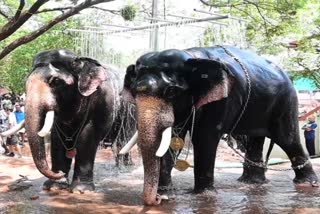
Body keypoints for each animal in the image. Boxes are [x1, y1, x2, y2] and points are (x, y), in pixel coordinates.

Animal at [20, 49, 135, 192]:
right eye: (26, 82)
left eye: (56, 81)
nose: (60, 173)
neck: (80, 60)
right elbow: (57, 139)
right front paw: (54, 186)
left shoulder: (102, 100)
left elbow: (87, 136)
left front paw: (81, 190)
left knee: (123, 140)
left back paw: (125, 167)